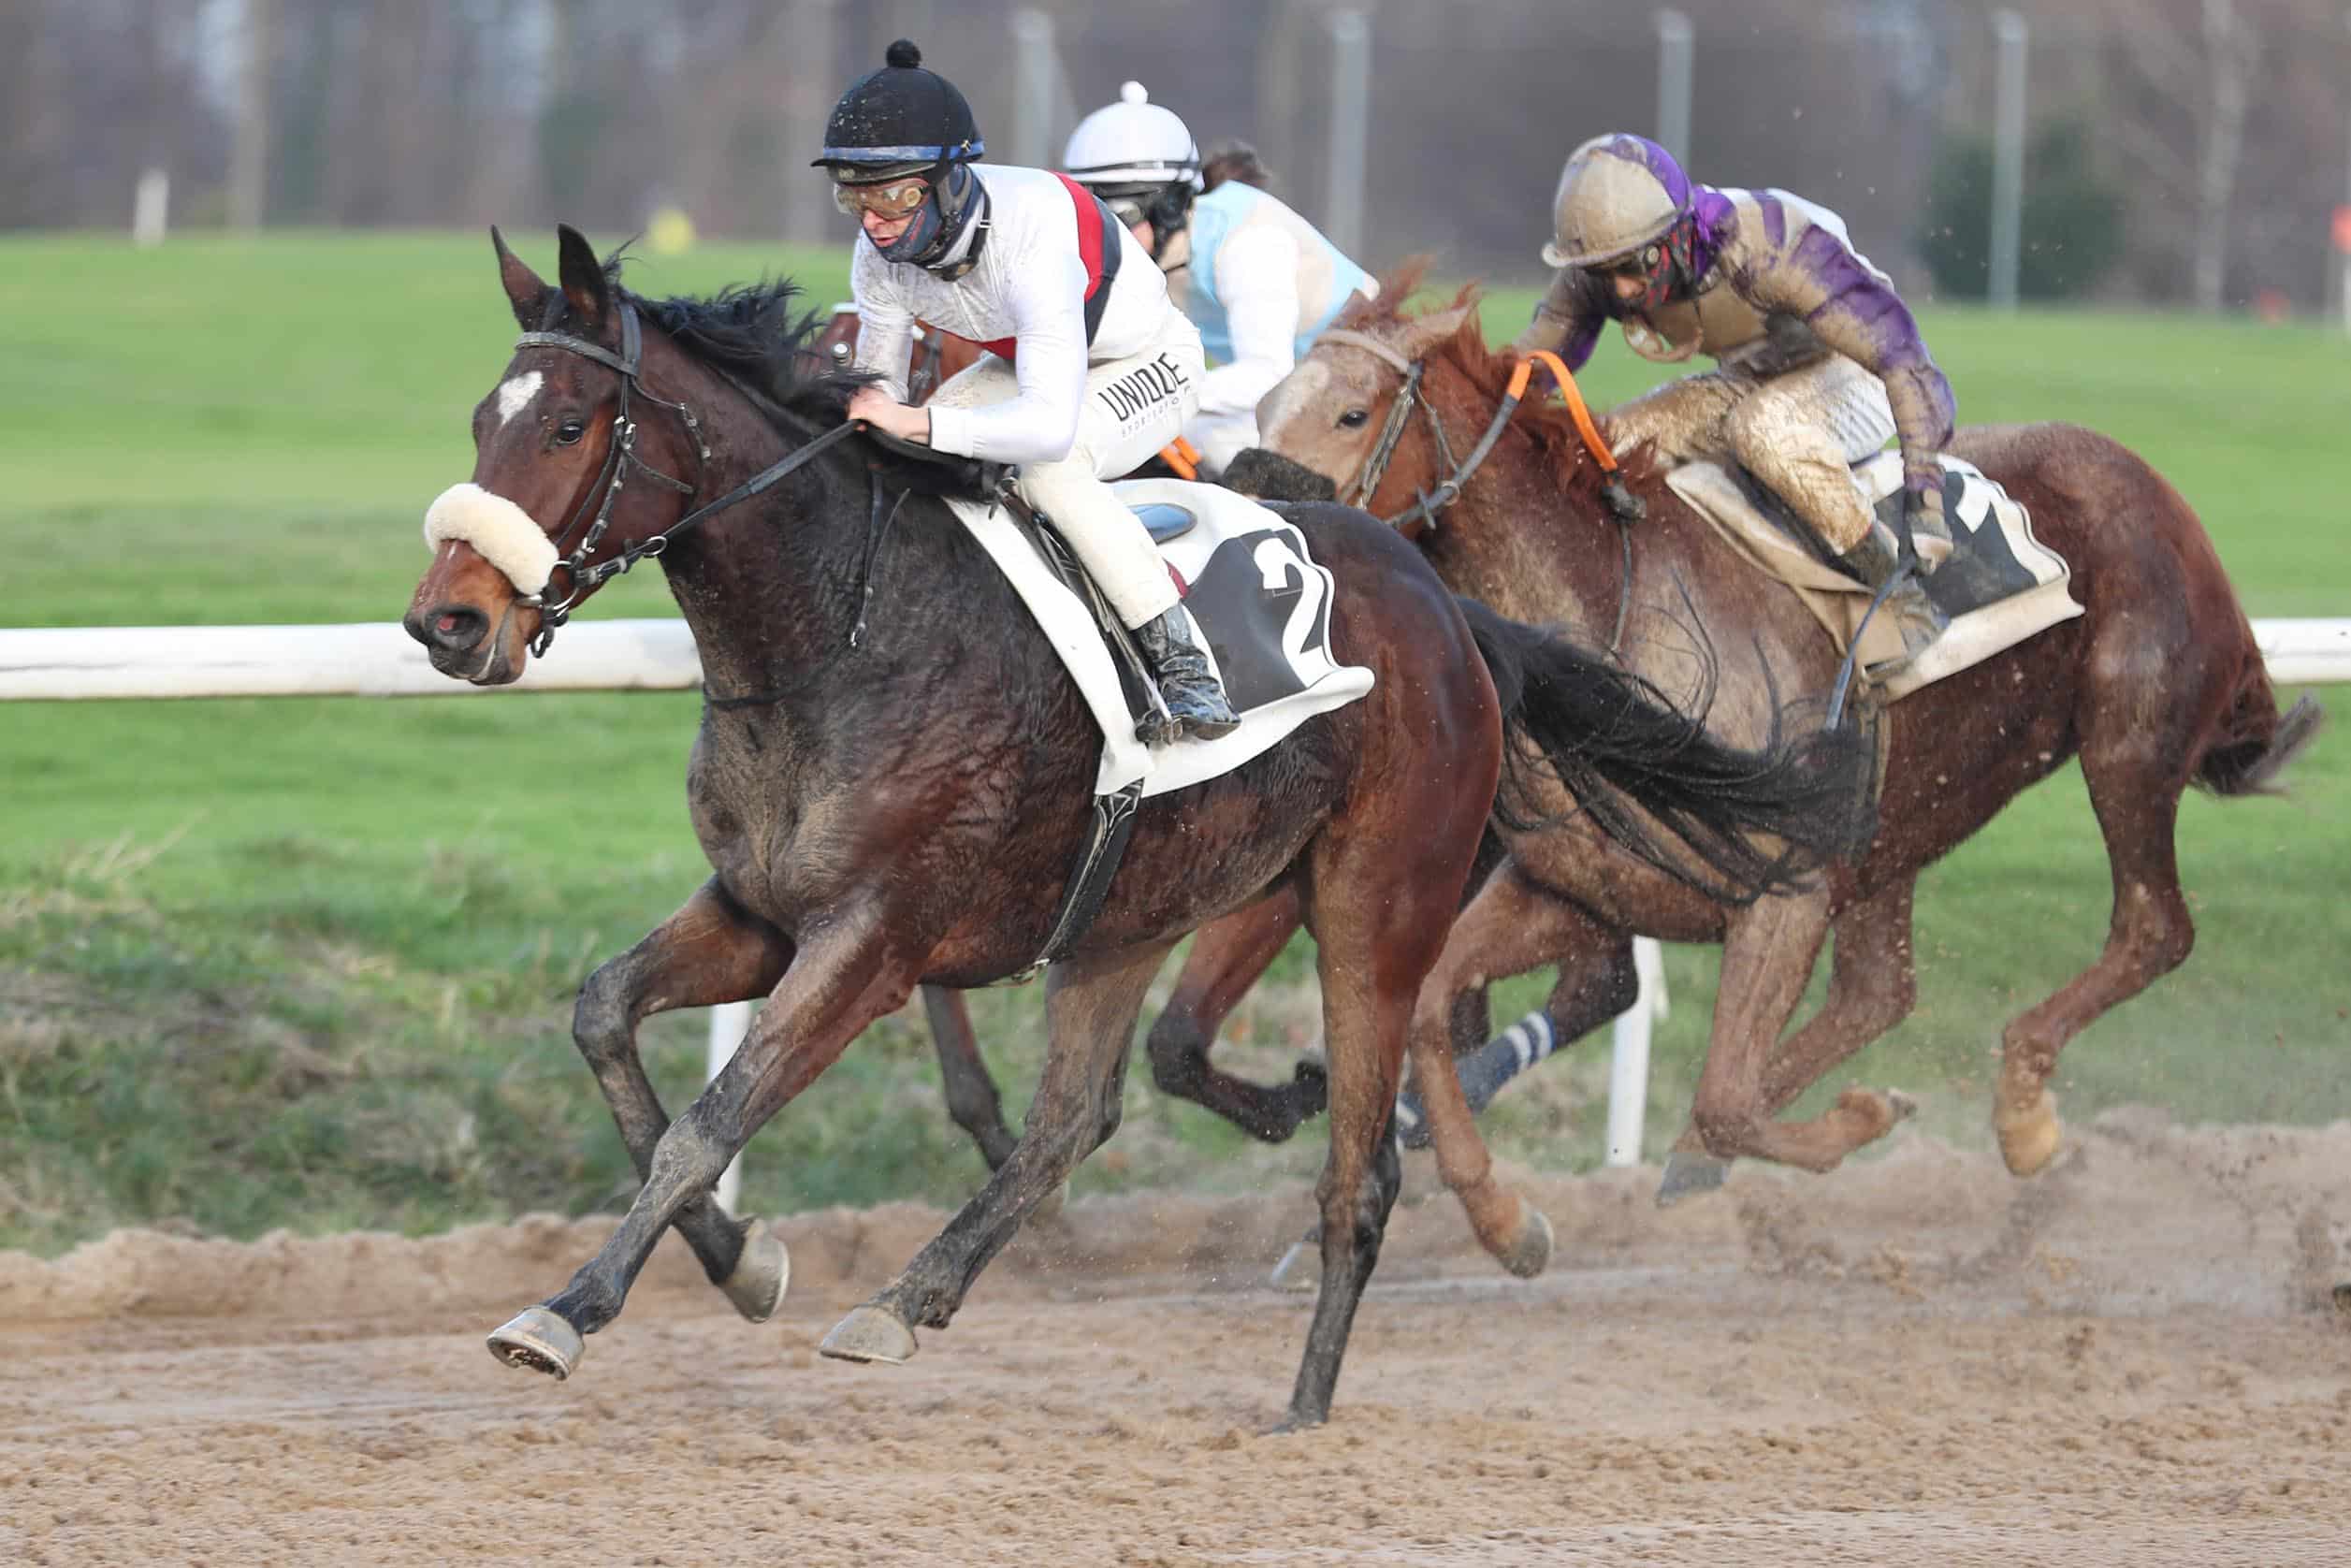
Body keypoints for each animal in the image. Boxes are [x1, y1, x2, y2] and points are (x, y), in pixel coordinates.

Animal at [409, 226, 1871, 1429]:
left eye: (571, 424)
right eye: (482, 416)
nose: (447, 620)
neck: (845, 623)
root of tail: (1450, 608)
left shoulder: (874, 937)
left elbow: (714, 1117)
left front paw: (566, 1310)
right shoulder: (764, 909)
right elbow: (607, 1019)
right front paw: (741, 1259)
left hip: (1374, 906)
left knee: (1354, 1174)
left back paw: (1304, 1405)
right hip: (1123, 908)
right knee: (1074, 1118)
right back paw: (904, 1300)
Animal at [1203, 269, 2322, 1194]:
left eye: (1351, 411)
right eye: (1258, 404)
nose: (1249, 535)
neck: (1615, 611)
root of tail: (2152, 485)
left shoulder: (1785, 891)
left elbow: (1725, 1097)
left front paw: (1856, 1119)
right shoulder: (1590, 885)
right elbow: (1441, 1002)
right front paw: (1498, 1209)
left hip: (2126, 736)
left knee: (2151, 927)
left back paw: (2022, 1112)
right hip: (1901, 816)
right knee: (1879, 989)